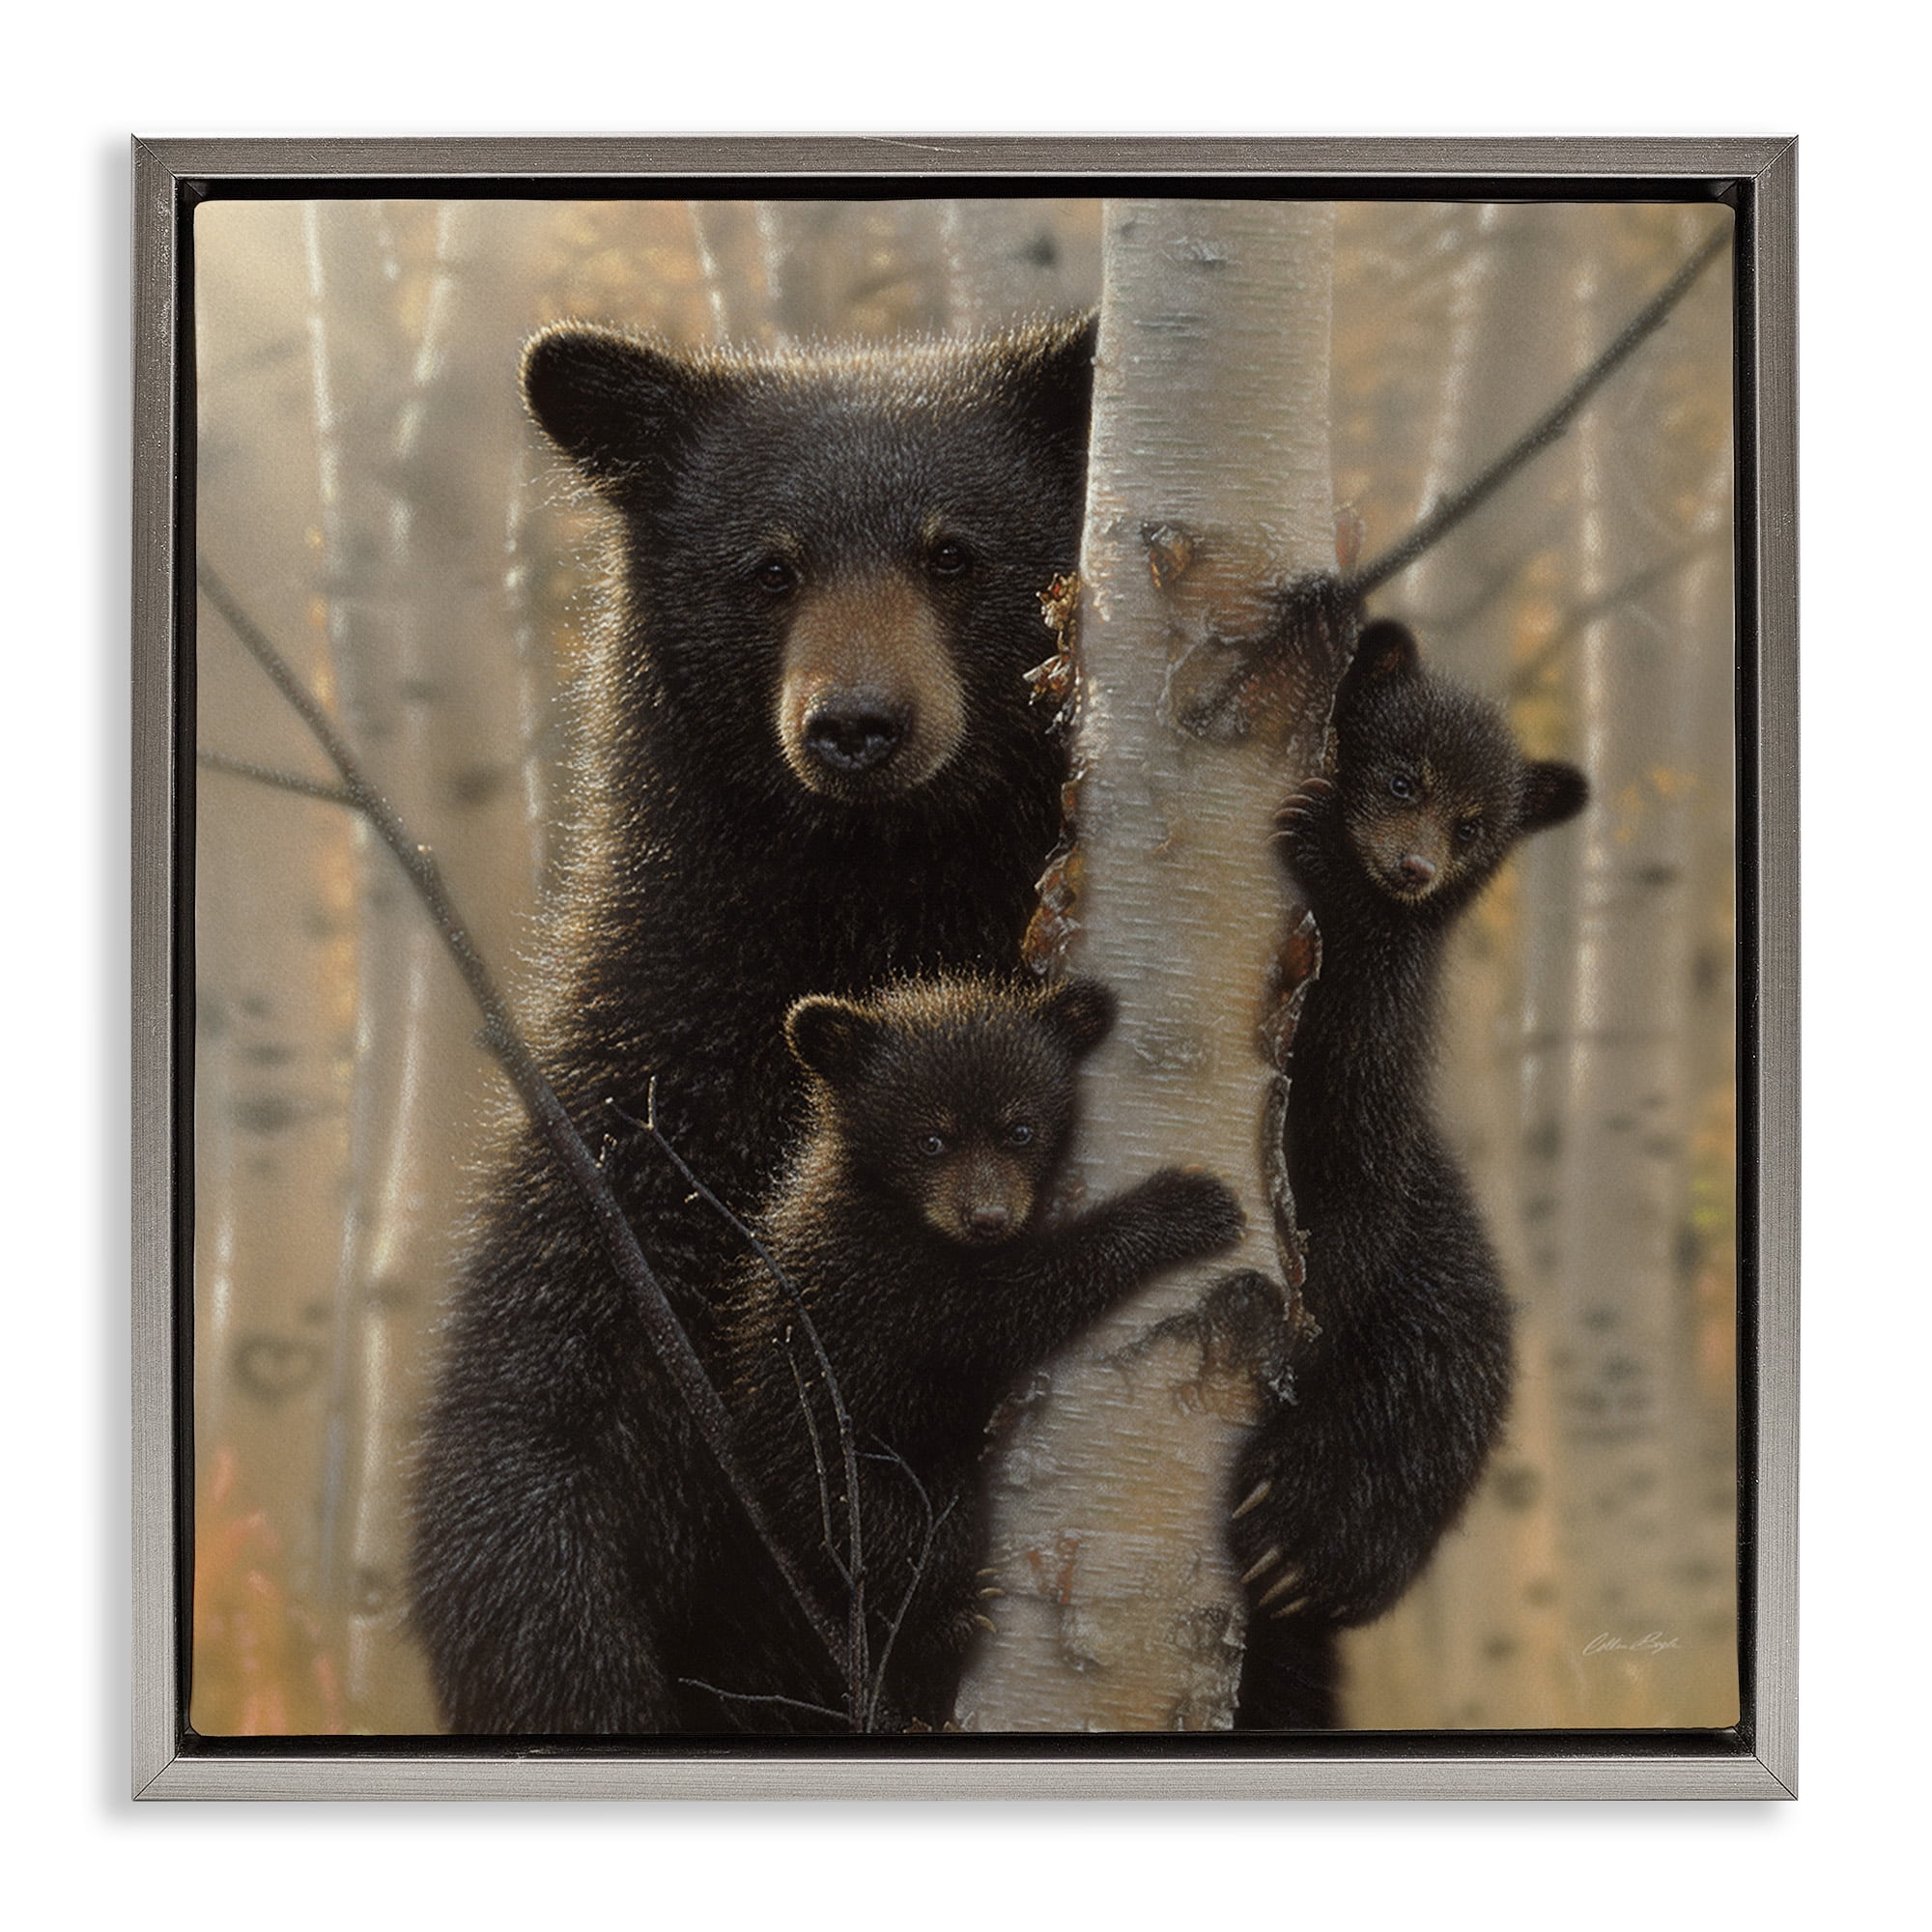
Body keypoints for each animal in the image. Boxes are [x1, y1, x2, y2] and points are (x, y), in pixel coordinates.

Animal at [407, 316, 1099, 1734]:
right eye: (768, 569)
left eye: (954, 552)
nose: (858, 726)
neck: (878, 905)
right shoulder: (652, 1100)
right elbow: (532, 1422)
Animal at [677, 974, 1247, 1732]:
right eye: (930, 1139)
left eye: (1020, 1129)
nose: (987, 1218)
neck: (895, 1207)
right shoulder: (885, 1280)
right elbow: (1002, 1311)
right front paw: (1184, 1205)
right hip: (843, 1481)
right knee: (913, 1541)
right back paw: (944, 1625)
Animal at [1229, 617, 1588, 1730]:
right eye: (1399, 777)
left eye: (1474, 824)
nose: (1414, 867)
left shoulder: (1372, 1063)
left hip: (1444, 1316)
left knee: (1425, 1400)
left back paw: (1300, 1539)